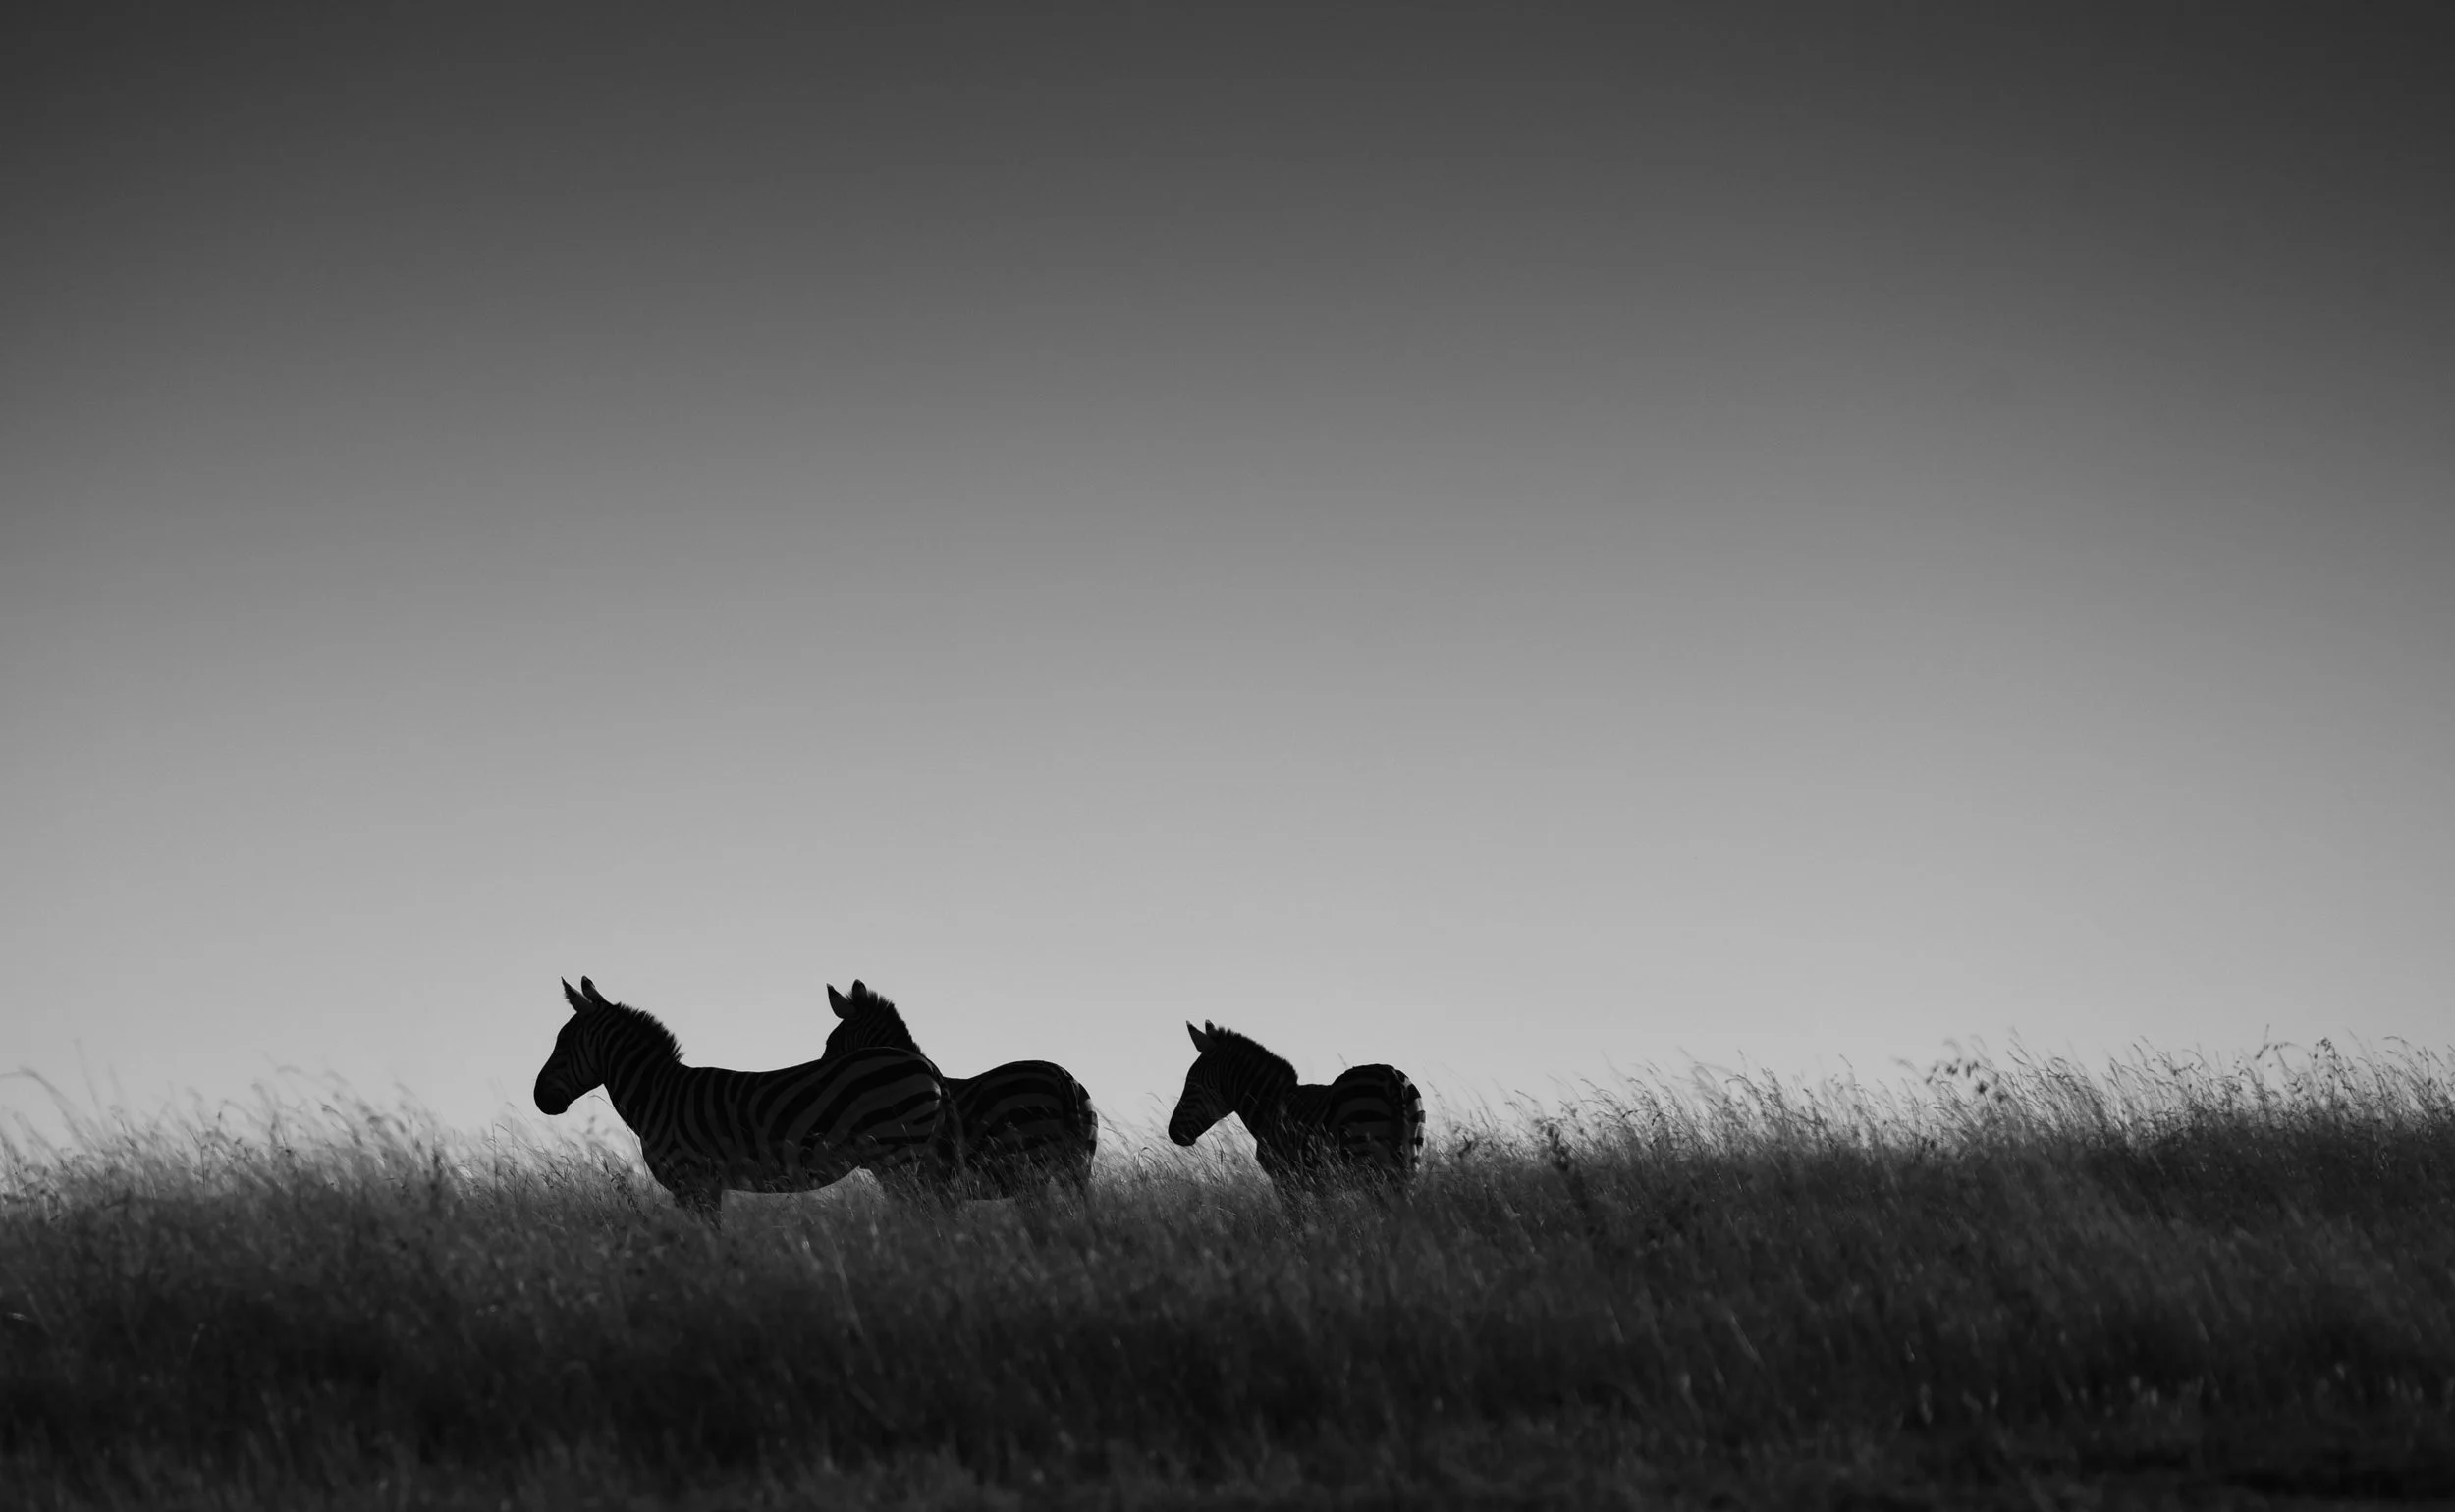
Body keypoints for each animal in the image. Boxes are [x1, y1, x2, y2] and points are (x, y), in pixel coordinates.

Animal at [534, 976, 951, 1225]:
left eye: (563, 1042)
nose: (539, 1098)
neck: (659, 1095)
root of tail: (925, 1064)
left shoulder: (694, 1183)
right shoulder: (704, 1188)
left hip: (896, 1154)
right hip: (901, 1158)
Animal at [1167, 1021, 1424, 1194]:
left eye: (1191, 1084)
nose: (1172, 1132)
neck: (1269, 1106)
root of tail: (1393, 1077)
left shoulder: (1285, 1178)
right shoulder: (1316, 1183)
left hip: (1367, 1160)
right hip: (1411, 1159)